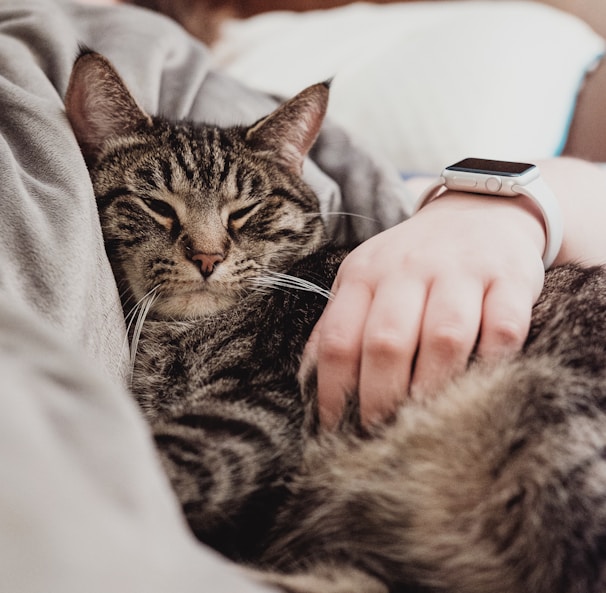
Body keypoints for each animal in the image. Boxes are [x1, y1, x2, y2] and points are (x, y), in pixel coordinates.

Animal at [64, 51, 606, 592]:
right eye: (156, 204)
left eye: (245, 211)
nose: (207, 256)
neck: (175, 336)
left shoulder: (255, 404)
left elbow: (153, 462)